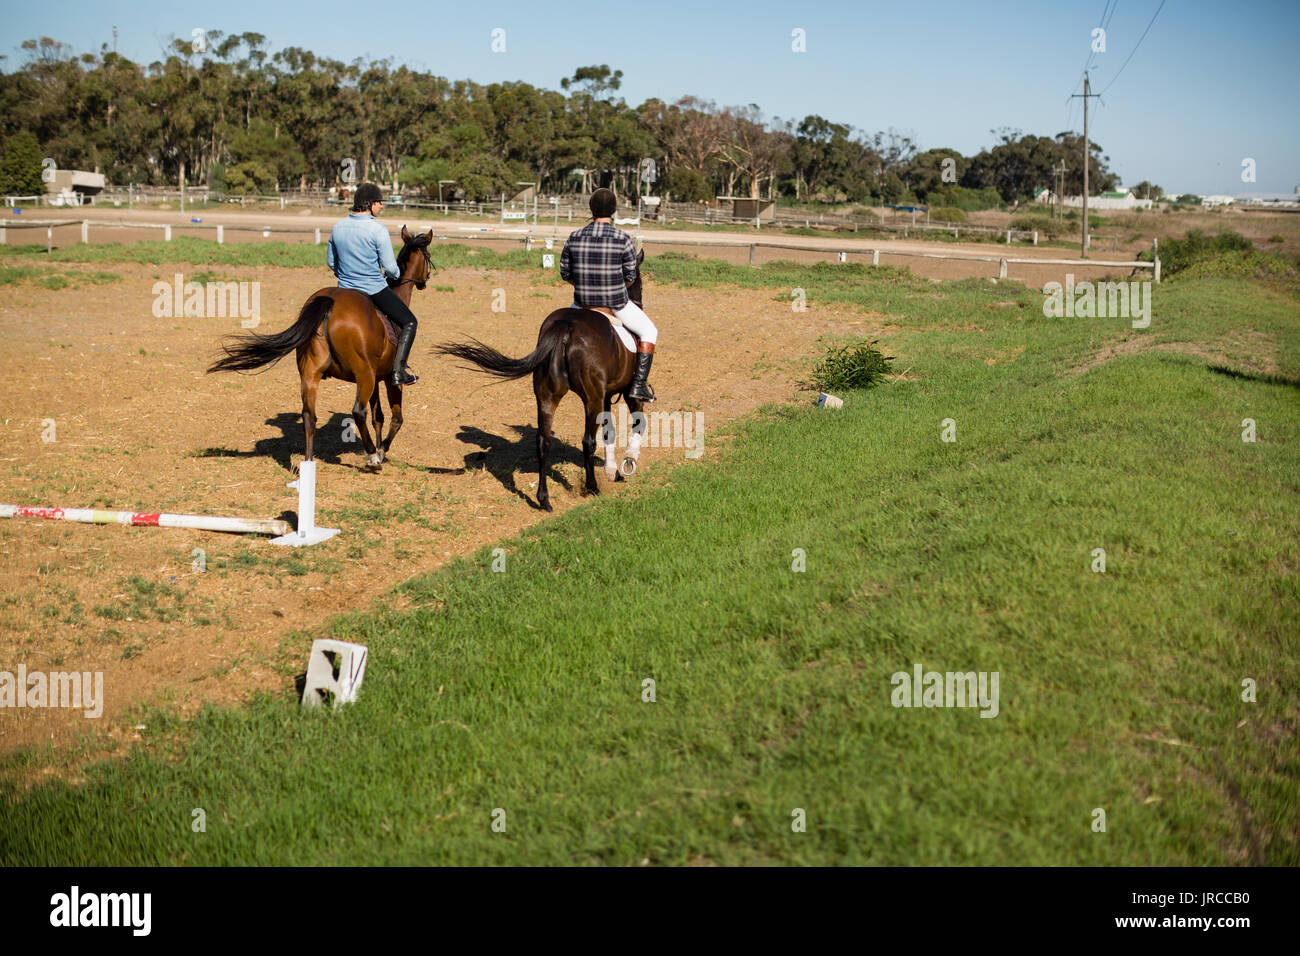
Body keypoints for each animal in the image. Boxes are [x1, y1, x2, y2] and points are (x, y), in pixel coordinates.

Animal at [207, 225, 434, 471]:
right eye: (428, 257)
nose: (425, 280)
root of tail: (330, 301)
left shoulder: (378, 377)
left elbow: (378, 418)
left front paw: (379, 448)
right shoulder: (389, 379)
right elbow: (395, 417)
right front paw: (380, 451)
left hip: (312, 373)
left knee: (309, 416)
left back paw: (308, 464)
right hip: (364, 375)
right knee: (358, 412)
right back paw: (373, 458)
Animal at [435, 249, 648, 511]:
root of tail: (566, 325)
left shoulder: (608, 394)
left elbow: (609, 431)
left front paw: (612, 471)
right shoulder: (626, 393)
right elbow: (637, 423)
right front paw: (628, 463)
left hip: (548, 396)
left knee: (543, 443)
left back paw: (543, 499)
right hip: (591, 399)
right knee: (587, 441)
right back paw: (591, 487)